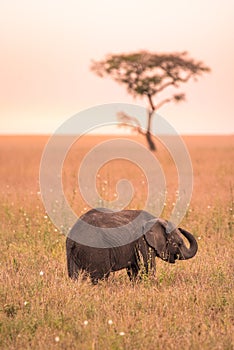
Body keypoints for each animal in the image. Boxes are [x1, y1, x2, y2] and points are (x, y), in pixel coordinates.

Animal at [65, 209, 197, 284]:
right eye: (178, 244)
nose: (181, 228)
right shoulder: (143, 242)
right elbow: (148, 267)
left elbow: (135, 270)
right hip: (95, 250)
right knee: (100, 277)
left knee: (75, 277)